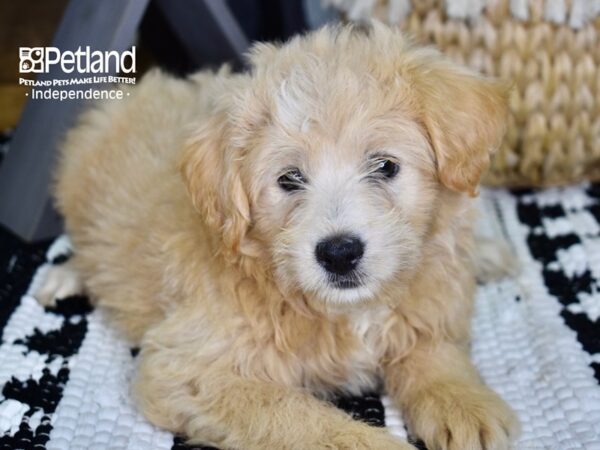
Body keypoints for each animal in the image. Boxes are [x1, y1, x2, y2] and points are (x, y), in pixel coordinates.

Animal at [50, 25, 520, 450]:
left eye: (385, 166)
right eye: (289, 179)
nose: (339, 253)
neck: (344, 312)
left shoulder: (426, 305)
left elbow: (433, 346)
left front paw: (464, 403)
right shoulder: (186, 369)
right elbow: (295, 415)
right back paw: (64, 278)